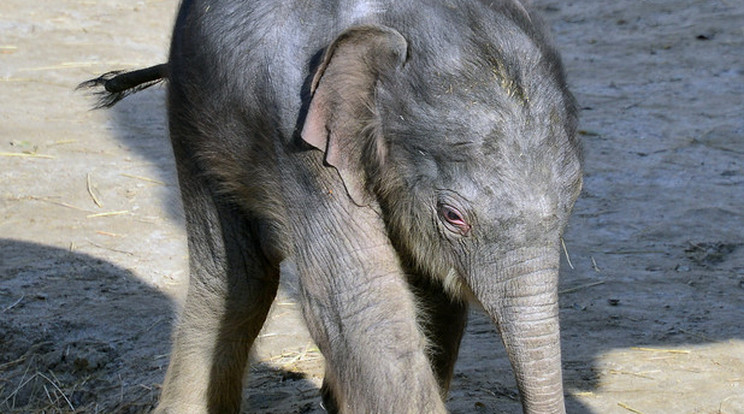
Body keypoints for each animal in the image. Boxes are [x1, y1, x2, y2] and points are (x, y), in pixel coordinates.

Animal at [83, 0, 580, 414]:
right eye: (452, 216)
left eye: (574, 194)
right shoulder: (299, 136)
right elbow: (360, 302)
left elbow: (434, 296)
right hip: (192, 110)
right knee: (235, 280)